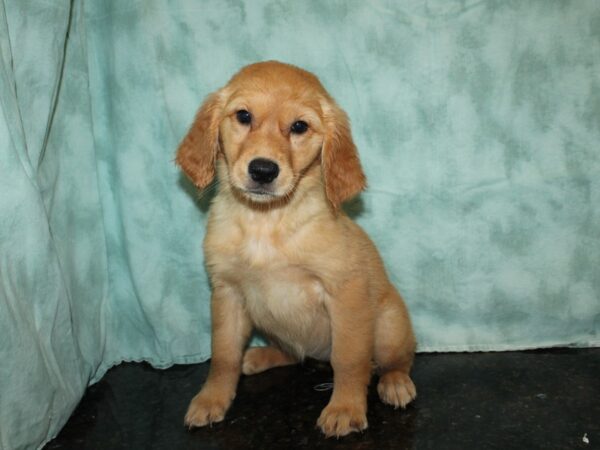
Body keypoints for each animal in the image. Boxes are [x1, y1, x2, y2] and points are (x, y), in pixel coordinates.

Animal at [176, 61, 414, 438]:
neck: (266, 222)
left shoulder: (345, 293)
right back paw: (259, 356)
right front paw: (212, 399)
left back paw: (394, 382)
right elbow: (223, 355)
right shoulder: (227, 293)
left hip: (390, 326)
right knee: (293, 353)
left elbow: (349, 360)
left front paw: (345, 407)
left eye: (299, 126)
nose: (263, 170)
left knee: (393, 360)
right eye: (243, 116)